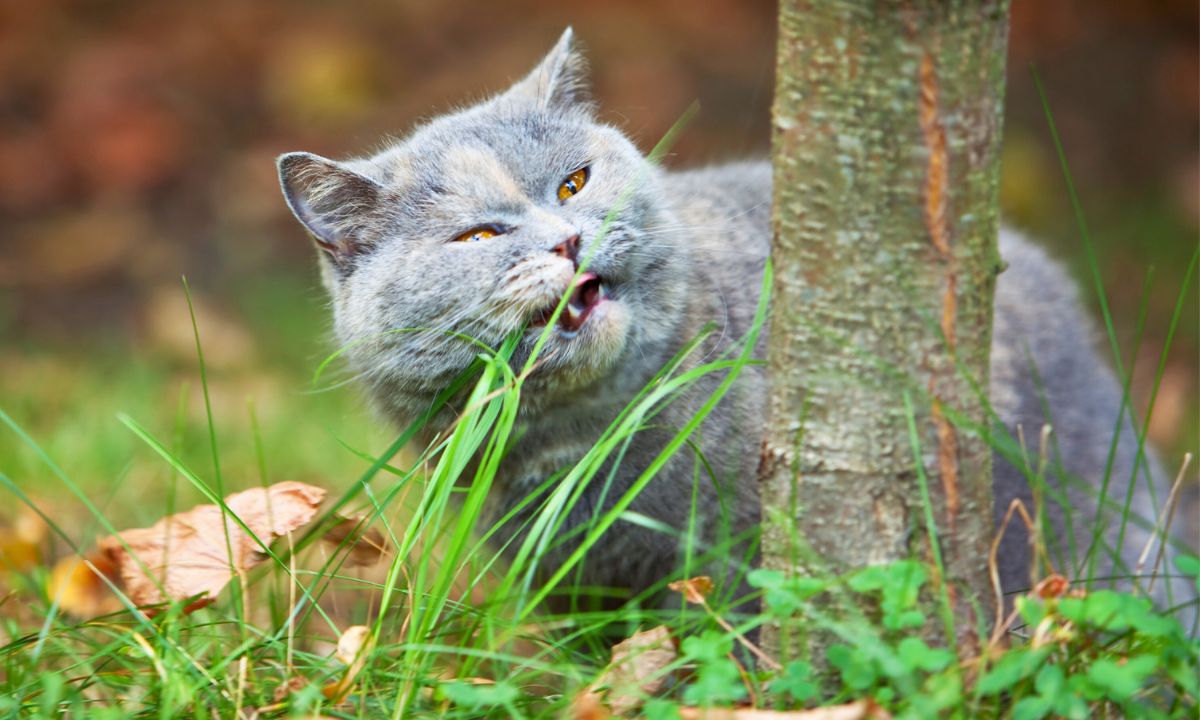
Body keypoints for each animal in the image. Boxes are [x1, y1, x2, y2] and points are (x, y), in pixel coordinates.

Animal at [278, 29, 1190, 619]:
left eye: (573, 183)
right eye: (477, 237)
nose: (566, 239)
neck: (589, 444)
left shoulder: (741, 563)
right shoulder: (578, 593)